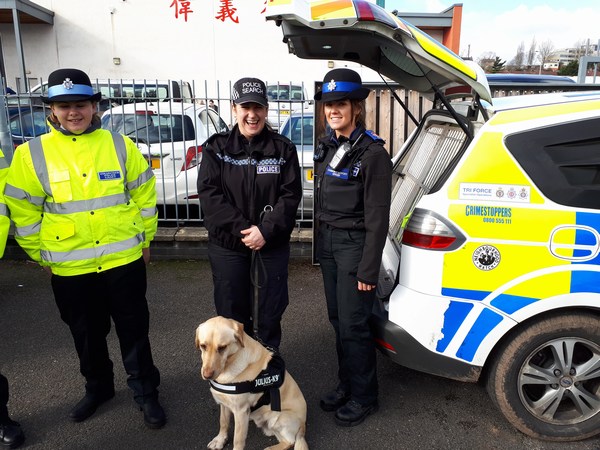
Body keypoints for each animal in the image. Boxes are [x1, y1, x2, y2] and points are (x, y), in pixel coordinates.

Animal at [196, 316, 310, 450]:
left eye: (222, 347)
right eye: (203, 346)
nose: (207, 375)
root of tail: (303, 426)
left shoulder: (240, 411)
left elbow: (238, 440)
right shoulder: (224, 403)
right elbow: (223, 422)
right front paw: (220, 440)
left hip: (278, 417)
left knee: (290, 441)